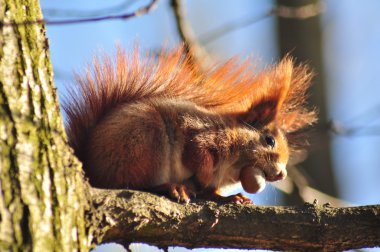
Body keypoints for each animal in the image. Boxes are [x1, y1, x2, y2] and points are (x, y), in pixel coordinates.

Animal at [62, 46, 316, 204]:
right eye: (269, 139)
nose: (282, 174)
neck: (233, 167)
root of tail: (91, 168)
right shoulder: (200, 134)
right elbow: (196, 154)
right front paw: (201, 177)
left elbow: (212, 192)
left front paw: (232, 198)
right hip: (145, 140)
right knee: (130, 183)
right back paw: (171, 187)